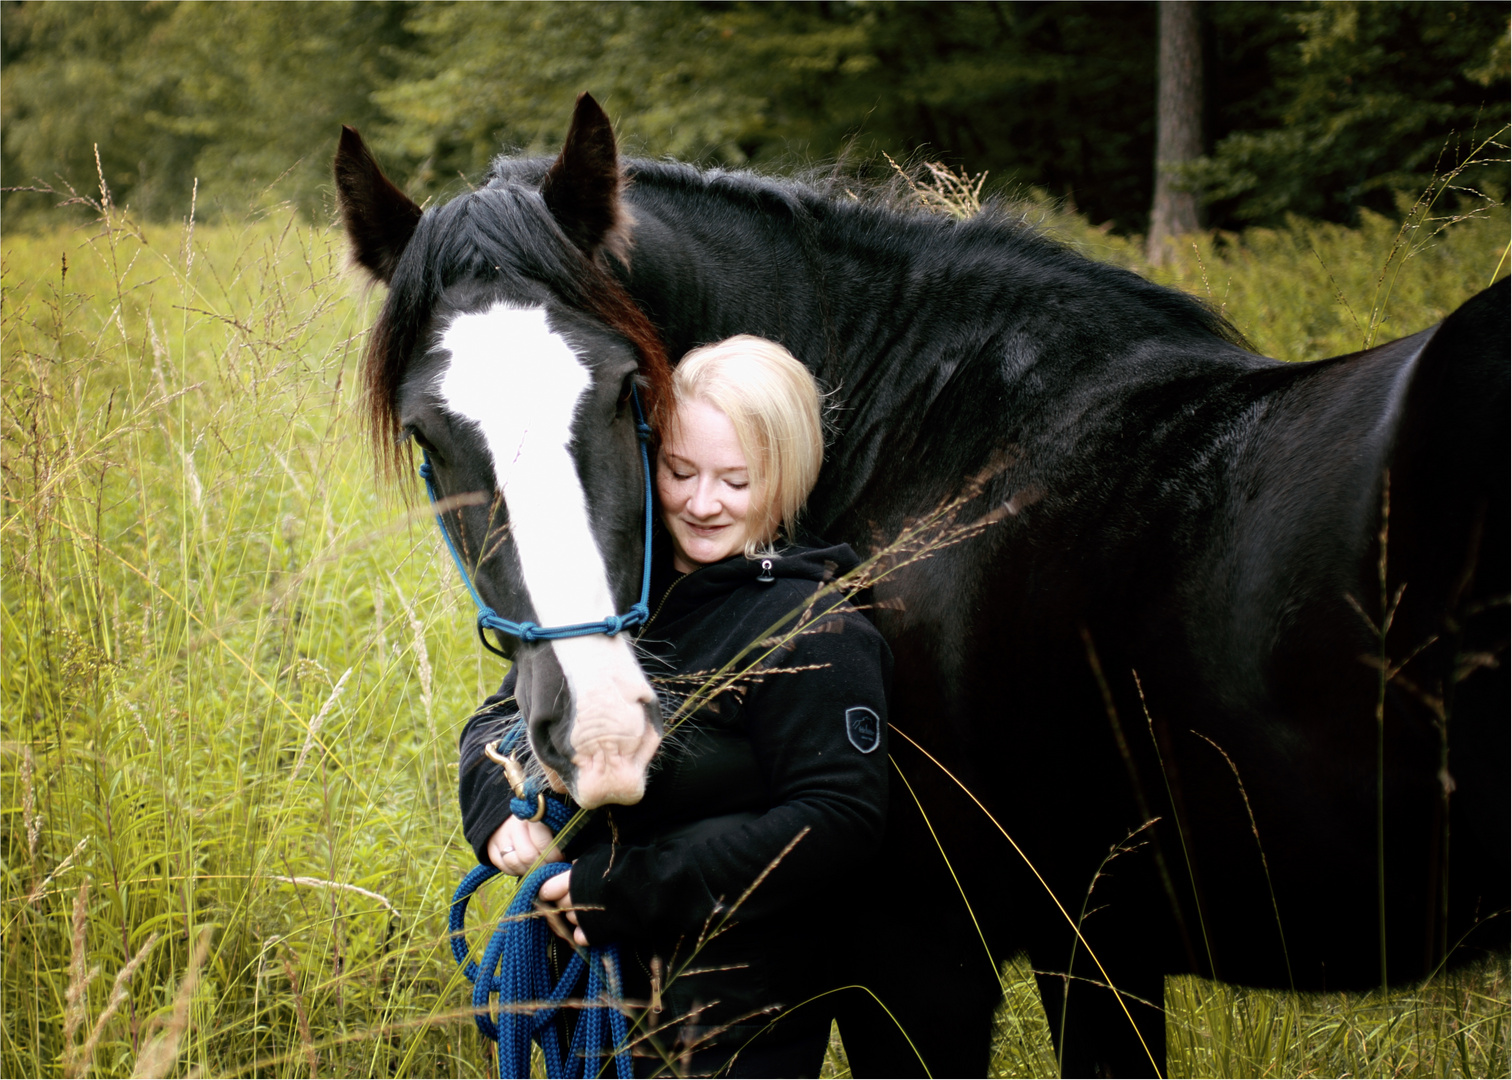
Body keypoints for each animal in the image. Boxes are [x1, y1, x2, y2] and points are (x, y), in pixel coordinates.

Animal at [337, 96, 1505, 1070]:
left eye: (631, 390)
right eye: (429, 438)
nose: (598, 729)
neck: (931, 456)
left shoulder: (921, 952)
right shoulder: (1102, 939)